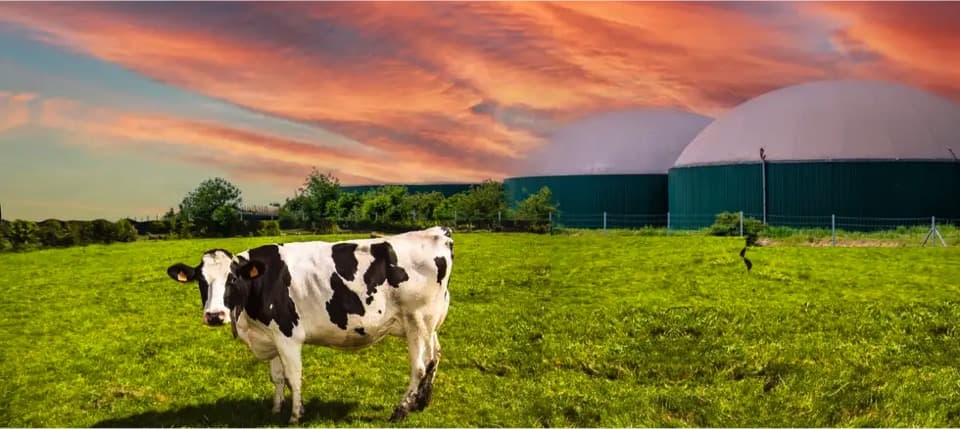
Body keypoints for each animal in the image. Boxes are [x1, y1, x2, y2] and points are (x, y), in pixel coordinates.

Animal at [165, 226, 454, 423]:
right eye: (201, 281)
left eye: (232, 278)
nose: (214, 315)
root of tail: (438, 233)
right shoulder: (271, 335)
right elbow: (277, 376)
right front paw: (276, 408)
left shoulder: (287, 335)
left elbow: (293, 376)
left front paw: (295, 414)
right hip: (430, 323)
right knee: (435, 357)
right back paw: (421, 402)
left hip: (417, 320)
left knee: (419, 366)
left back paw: (401, 409)